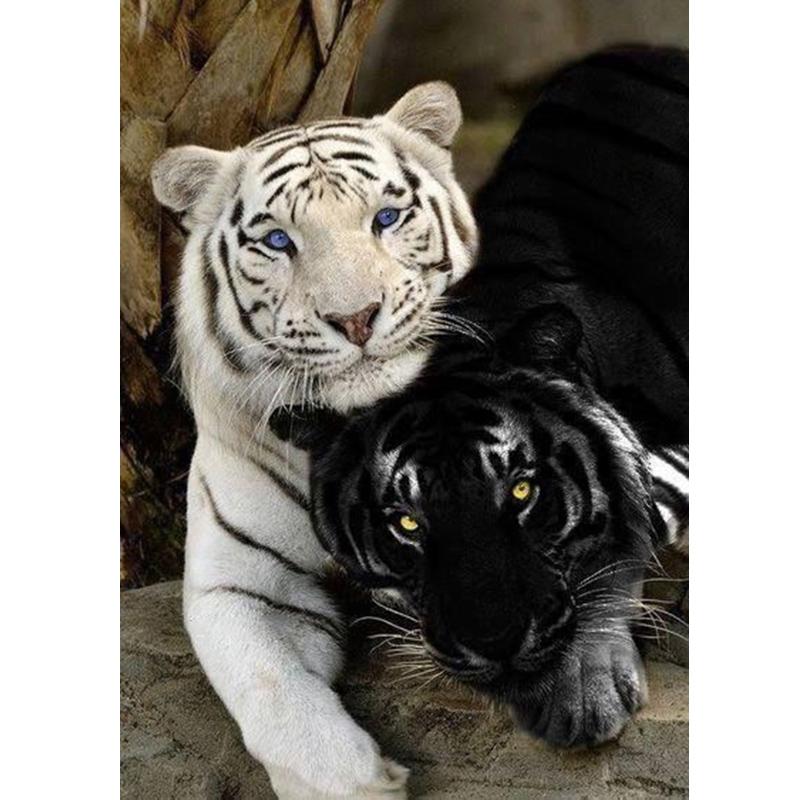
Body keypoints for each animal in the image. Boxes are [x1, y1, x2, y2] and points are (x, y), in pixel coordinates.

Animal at [150, 82, 477, 799]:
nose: (355, 317)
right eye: (278, 240)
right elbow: (269, 685)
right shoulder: (241, 583)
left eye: (386, 217)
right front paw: (354, 782)